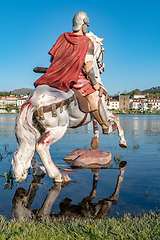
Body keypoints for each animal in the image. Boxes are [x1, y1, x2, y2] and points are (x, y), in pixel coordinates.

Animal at [11, 31, 127, 182]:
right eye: (103, 49)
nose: (103, 67)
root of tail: (33, 101)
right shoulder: (105, 111)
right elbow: (116, 118)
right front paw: (121, 140)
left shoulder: (94, 115)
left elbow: (98, 124)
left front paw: (98, 137)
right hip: (58, 128)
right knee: (41, 146)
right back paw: (58, 175)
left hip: (36, 129)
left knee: (24, 150)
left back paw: (38, 170)